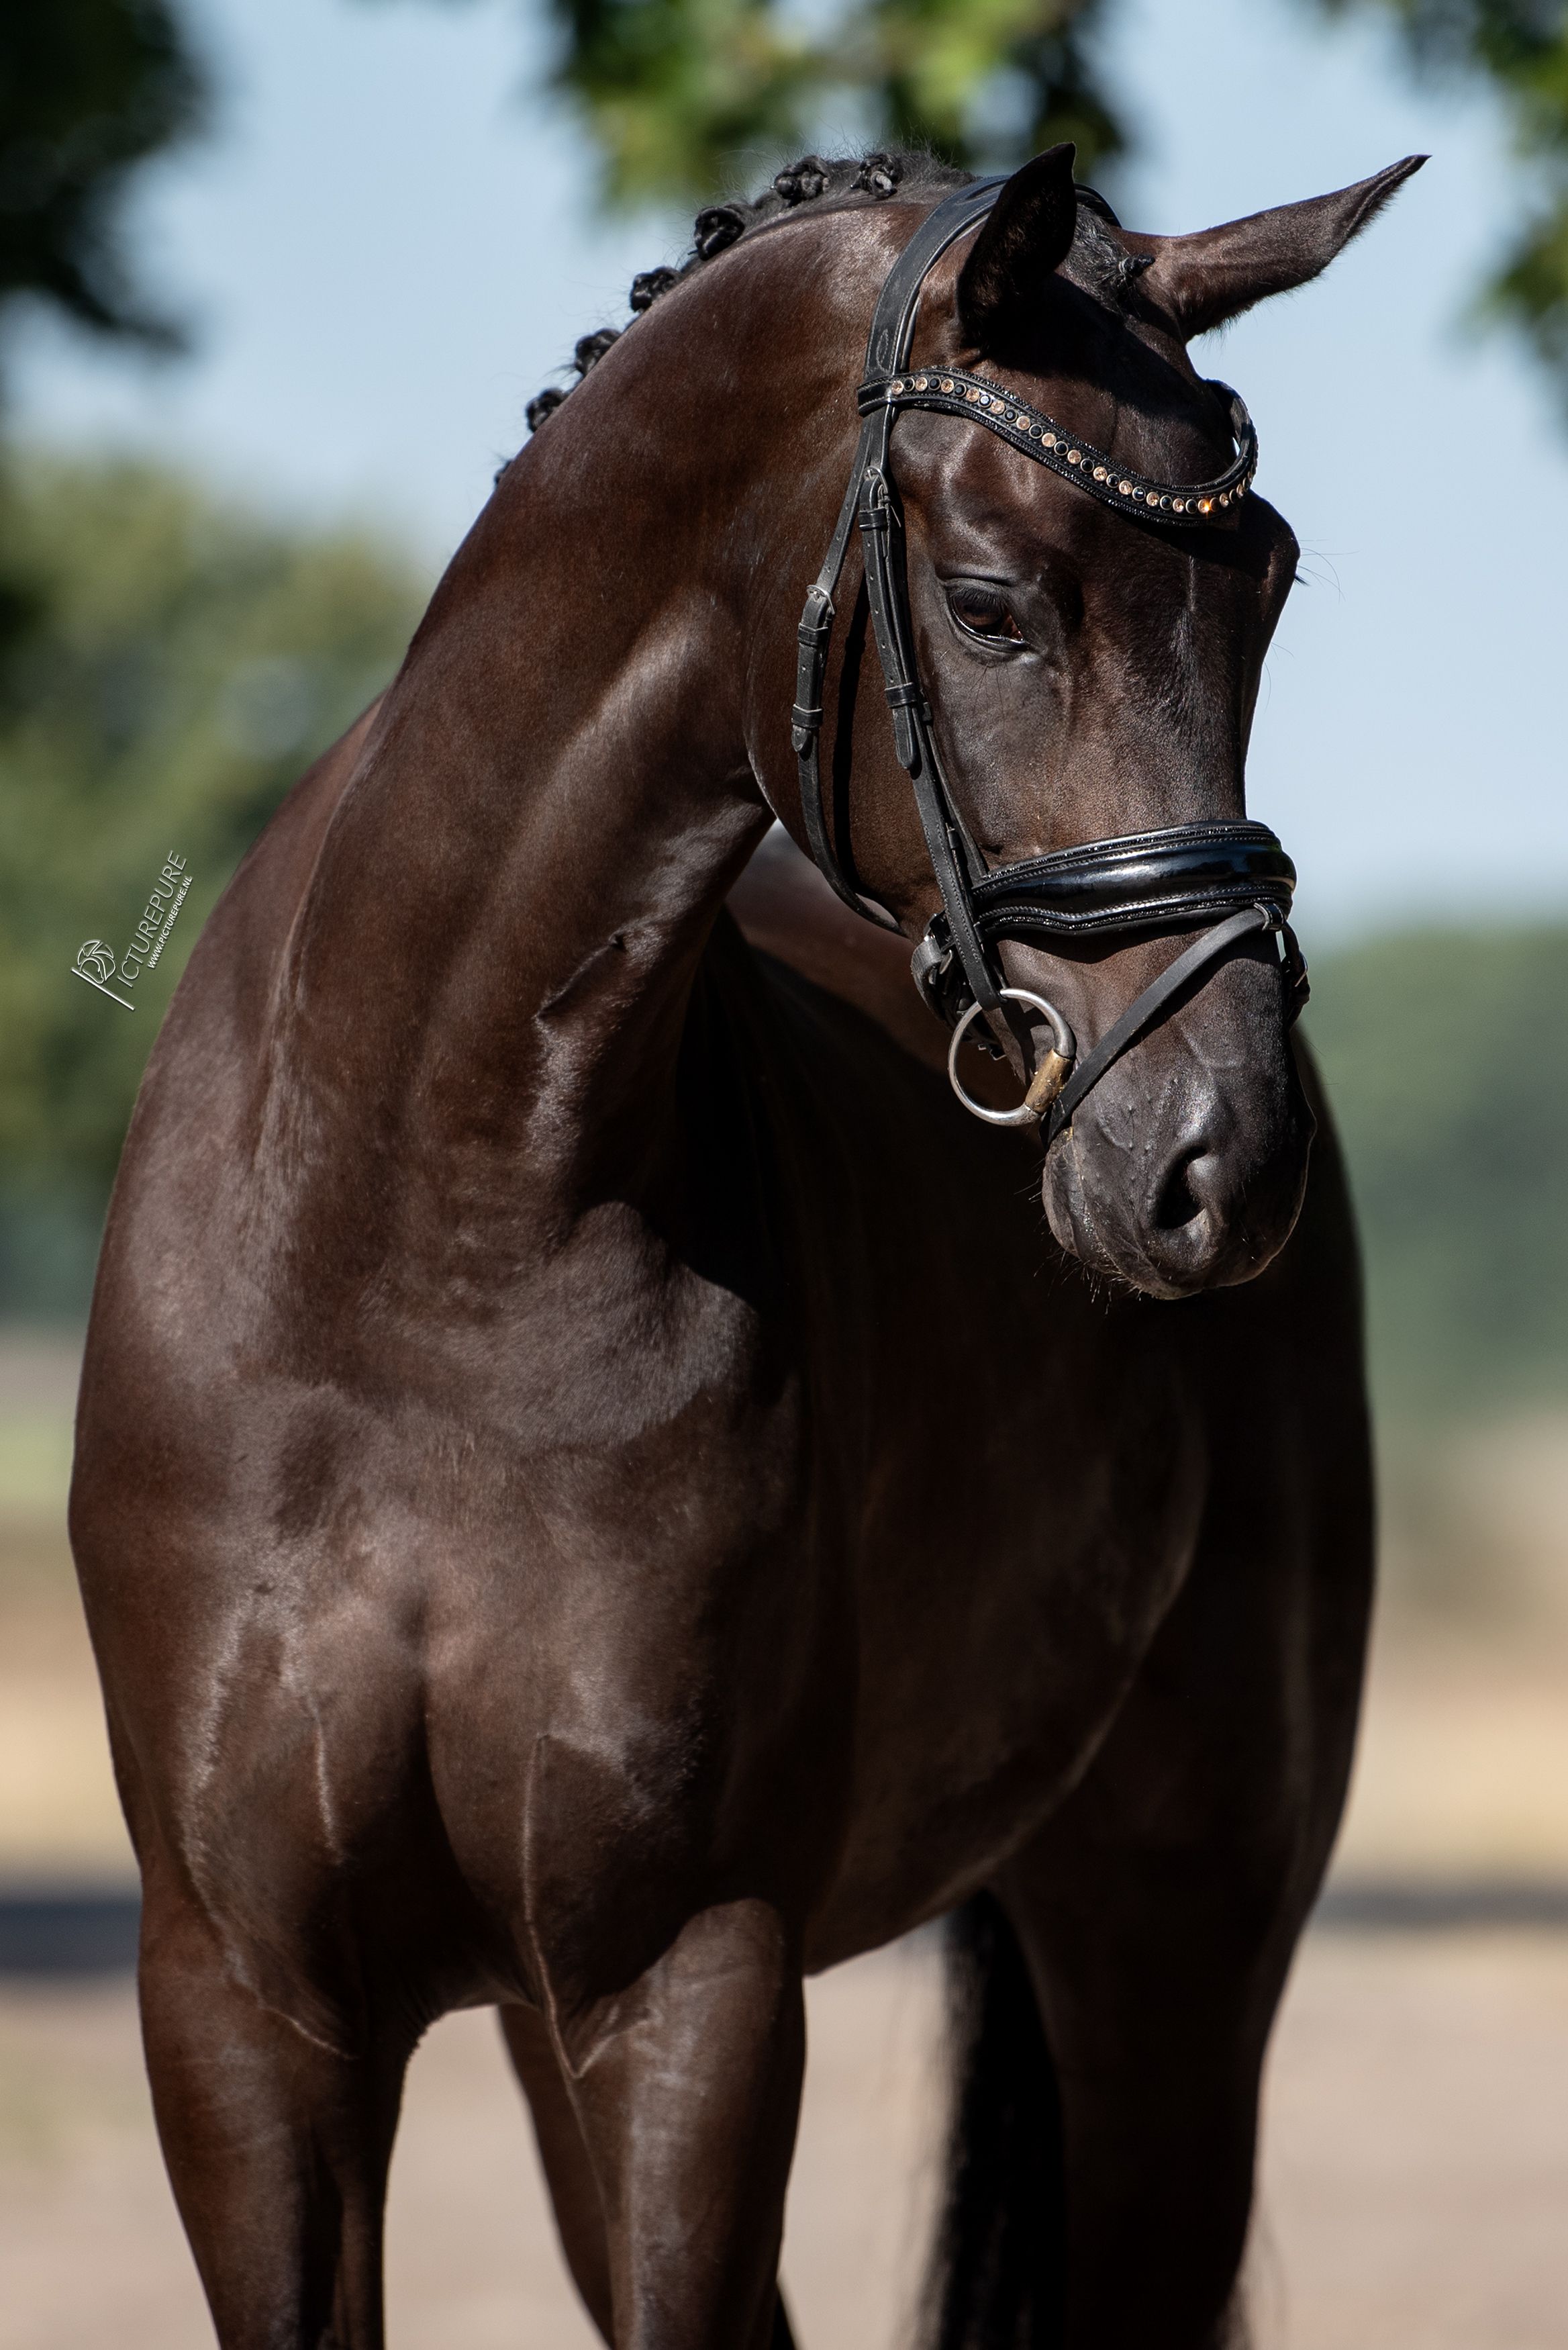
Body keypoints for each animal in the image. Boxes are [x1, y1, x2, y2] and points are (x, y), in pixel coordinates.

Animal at [70, 142, 1419, 2349]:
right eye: (989, 602)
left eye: (1266, 588)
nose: (1216, 1163)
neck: (416, 1237)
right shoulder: (248, 2011)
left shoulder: (687, 1977)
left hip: (1176, 1946)